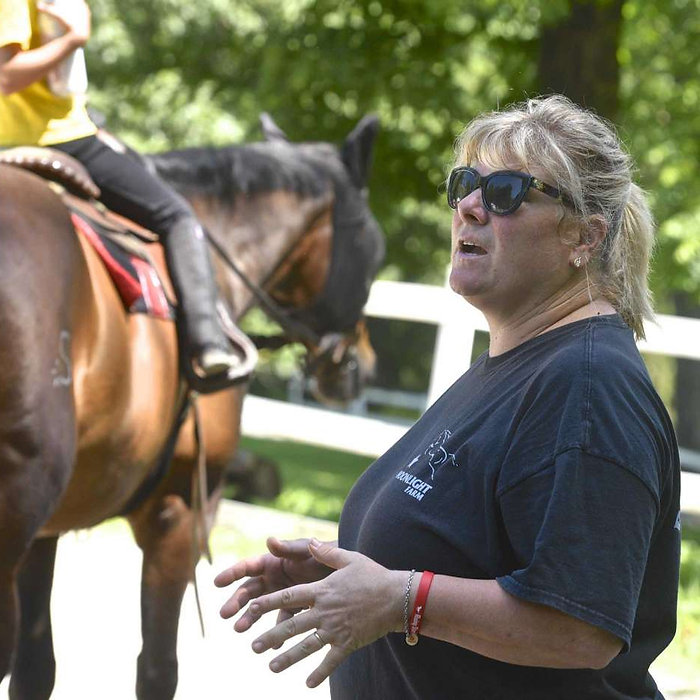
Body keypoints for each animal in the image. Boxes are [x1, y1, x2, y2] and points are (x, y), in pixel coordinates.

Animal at [0, 114, 384, 700]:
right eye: (373, 248)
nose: (361, 363)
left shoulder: (50, 527)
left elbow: (35, 666)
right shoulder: (180, 512)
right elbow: (159, 667)